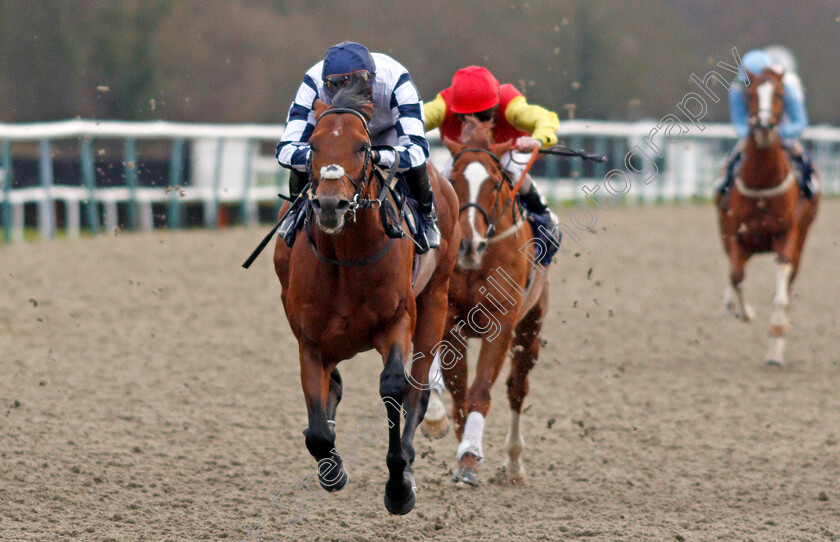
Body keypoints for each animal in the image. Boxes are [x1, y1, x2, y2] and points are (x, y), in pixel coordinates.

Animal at [274, 83, 460, 516]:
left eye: (362, 147)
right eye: (313, 145)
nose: (330, 204)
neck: (347, 256)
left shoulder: (397, 321)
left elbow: (394, 387)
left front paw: (398, 485)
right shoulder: (310, 340)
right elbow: (317, 425)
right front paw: (332, 469)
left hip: (436, 302)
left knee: (418, 391)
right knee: (334, 385)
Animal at [420, 121, 552, 490]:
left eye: (494, 183)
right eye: (454, 180)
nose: (468, 243)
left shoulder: (502, 321)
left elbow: (479, 392)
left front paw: (468, 457)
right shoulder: (450, 322)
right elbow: (458, 394)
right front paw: (460, 445)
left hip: (530, 329)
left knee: (517, 390)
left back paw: (514, 464)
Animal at [716, 68, 820, 366]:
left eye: (781, 95)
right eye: (750, 94)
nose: (763, 126)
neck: (762, 185)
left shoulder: (786, 237)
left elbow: (781, 294)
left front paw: (776, 334)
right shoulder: (735, 236)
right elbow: (736, 276)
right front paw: (745, 312)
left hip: (801, 239)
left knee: (788, 283)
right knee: (734, 274)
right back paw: (730, 305)